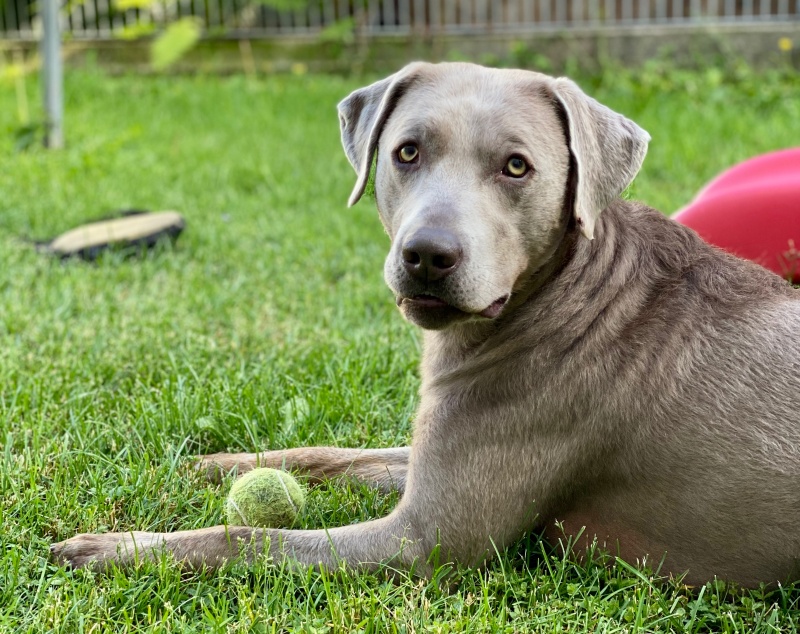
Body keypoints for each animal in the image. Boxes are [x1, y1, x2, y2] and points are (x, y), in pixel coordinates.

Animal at [50, 61, 800, 584]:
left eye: (517, 167)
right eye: (406, 151)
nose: (428, 255)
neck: (562, 297)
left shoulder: (422, 540)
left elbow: (250, 538)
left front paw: (112, 549)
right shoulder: (428, 455)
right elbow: (334, 455)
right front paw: (217, 464)